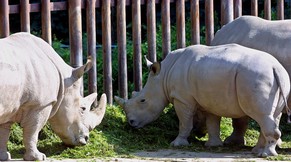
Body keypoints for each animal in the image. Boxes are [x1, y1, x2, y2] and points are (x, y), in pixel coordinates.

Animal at [0, 33, 107, 161]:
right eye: (83, 109)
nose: (86, 139)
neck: (64, 80)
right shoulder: (40, 105)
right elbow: (32, 132)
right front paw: (38, 157)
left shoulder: (10, 105)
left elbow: (3, 133)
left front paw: (4, 157)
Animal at [115, 43, 290, 157]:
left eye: (142, 100)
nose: (131, 123)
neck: (163, 75)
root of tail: (275, 67)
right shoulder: (209, 100)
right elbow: (212, 122)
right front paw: (213, 145)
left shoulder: (182, 99)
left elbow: (184, 122)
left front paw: (177, 144)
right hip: (280, 78)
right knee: (272, 116)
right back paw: (258, 151)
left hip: (255, 77)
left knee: (262, 116)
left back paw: (265, 155)